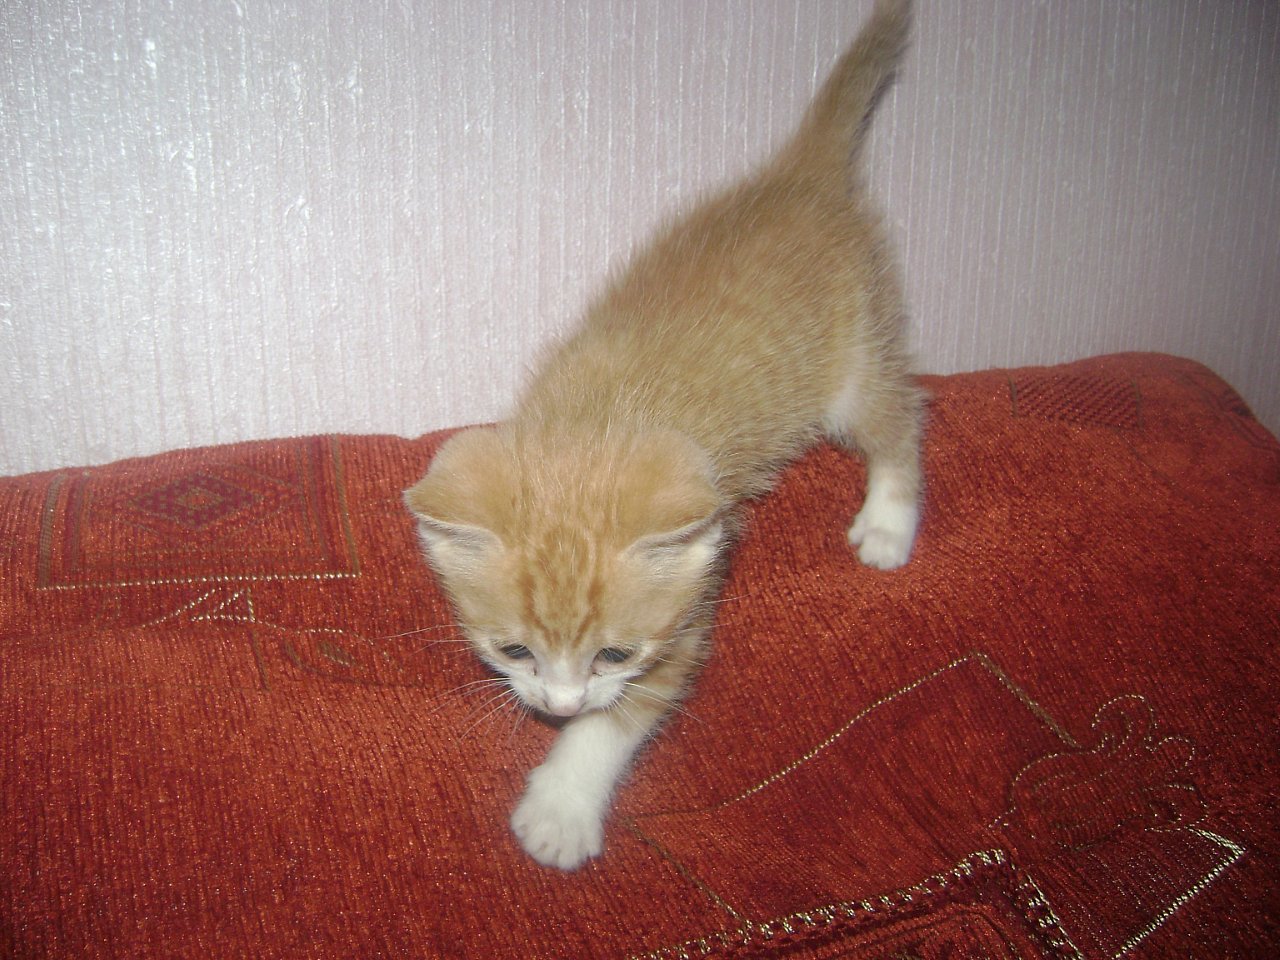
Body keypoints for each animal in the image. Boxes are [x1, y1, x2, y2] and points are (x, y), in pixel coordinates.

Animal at [404, 0, 921, 871]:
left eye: (614, 655)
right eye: (514, 651)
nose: (557, 702)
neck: (595, 418)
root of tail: (801, 175)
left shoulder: (689, 613)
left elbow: (620, 717)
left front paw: (561, 808)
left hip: (851, 363)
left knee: (902, 414)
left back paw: (888, 523)